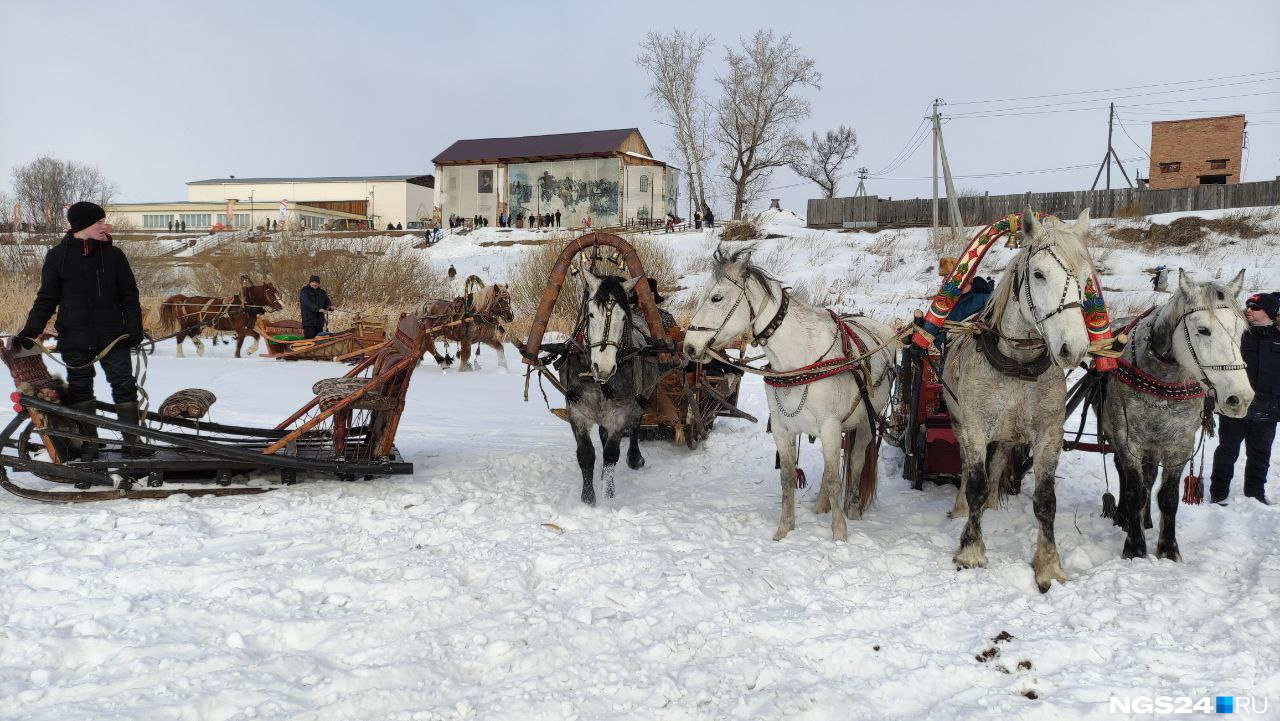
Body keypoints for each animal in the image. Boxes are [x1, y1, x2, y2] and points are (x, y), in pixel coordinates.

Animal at [560, 274, 660, 504]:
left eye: (623, 318)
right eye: (590, 314)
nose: (604, 367)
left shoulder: (619, 413)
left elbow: (611, 454)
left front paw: (608, 494)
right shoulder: (576, 412)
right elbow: (586, 453)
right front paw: (588, 498)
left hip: (641, 399)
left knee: (635, 425)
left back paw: (634, 459)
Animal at [686, 248, 896, 542]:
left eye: (717, 297)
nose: (689, 346)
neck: (800, 359)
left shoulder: (830, 426)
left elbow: (835, 478)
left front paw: (839, 533)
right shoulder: (783, 428)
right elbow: (787, 478)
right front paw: (784, 529)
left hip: (866, 421)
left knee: (855, 462)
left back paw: (853, 510)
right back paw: (821, 506)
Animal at [1100, 267, 1249, 560]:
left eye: (1241, 331)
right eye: (1203, 330)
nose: (1240, 399)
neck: (1162, 379)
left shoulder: (1179, 444)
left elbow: (1167, 497)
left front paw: (1168, 550)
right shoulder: (1127, 440)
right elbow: (1135, 491)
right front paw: (1135, 547)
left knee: (1149, 479)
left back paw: (1145, 520)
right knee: (1125, 475)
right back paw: (1124, 516)